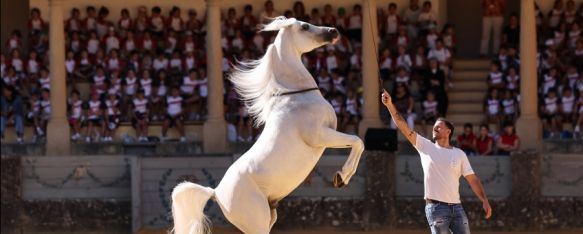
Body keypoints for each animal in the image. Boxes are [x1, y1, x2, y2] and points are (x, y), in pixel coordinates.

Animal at [171, 16, 364, 234]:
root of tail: (216, 192)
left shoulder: (329, 135)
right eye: (304, 26)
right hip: (258, 221)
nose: (333, 31)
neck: (297, 96)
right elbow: (358, 141)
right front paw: (342, 176)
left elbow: (357, 143)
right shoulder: (320, 136)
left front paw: (343, 177)